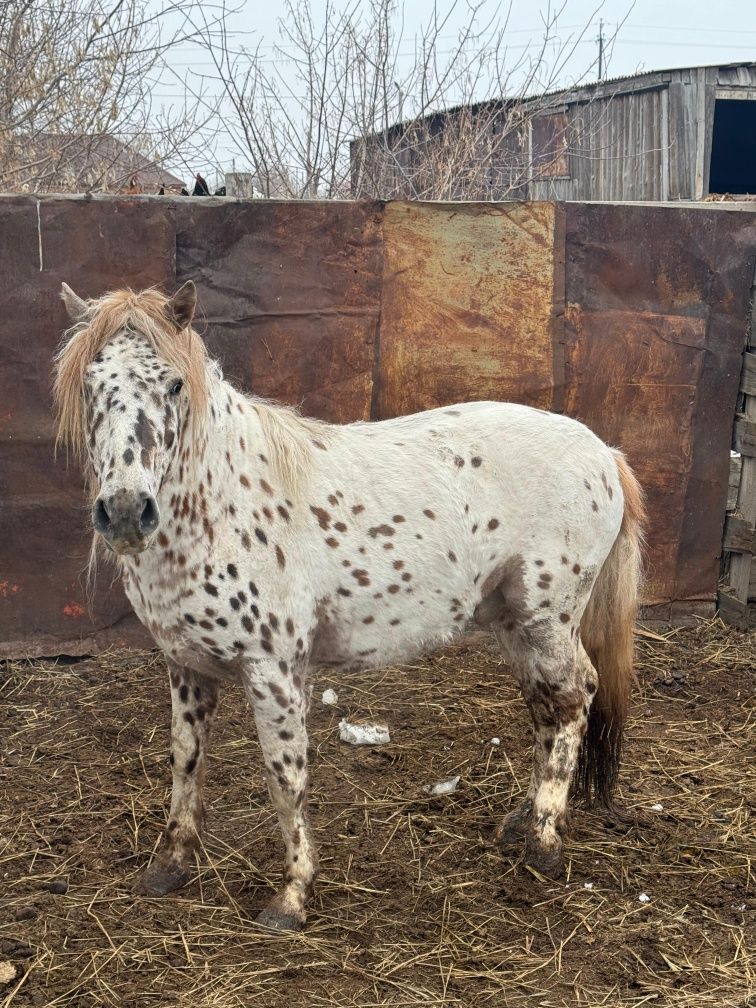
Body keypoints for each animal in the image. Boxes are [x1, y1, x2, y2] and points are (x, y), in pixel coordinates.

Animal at [53, 280, 645, 931]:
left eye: (175, 385)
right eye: (89, 384)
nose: (126, 512)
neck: (223, 508)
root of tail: (604, 452)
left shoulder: (276, 670)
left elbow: (285, 776)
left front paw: (291, 896)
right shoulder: (185, 668)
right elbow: (186, 760)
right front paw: (170, 866)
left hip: (548, 620)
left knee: (571, 699)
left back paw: (543, 840)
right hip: (514, 623)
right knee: (544, 704)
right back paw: (522, 821)